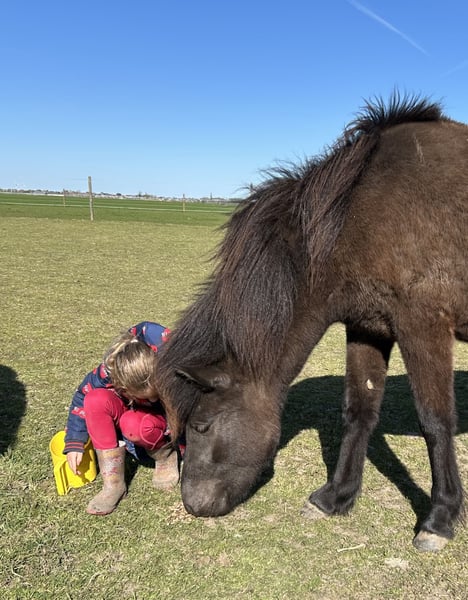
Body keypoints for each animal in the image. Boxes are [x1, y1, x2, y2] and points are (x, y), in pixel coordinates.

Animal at [155, 93, 468, 552]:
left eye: (201, 425)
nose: (193, 505)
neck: (360, 216)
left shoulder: (423, 326)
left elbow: (435, 421)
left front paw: (439, 519)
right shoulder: (368, 327)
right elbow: (358, 411)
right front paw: (335, 497)